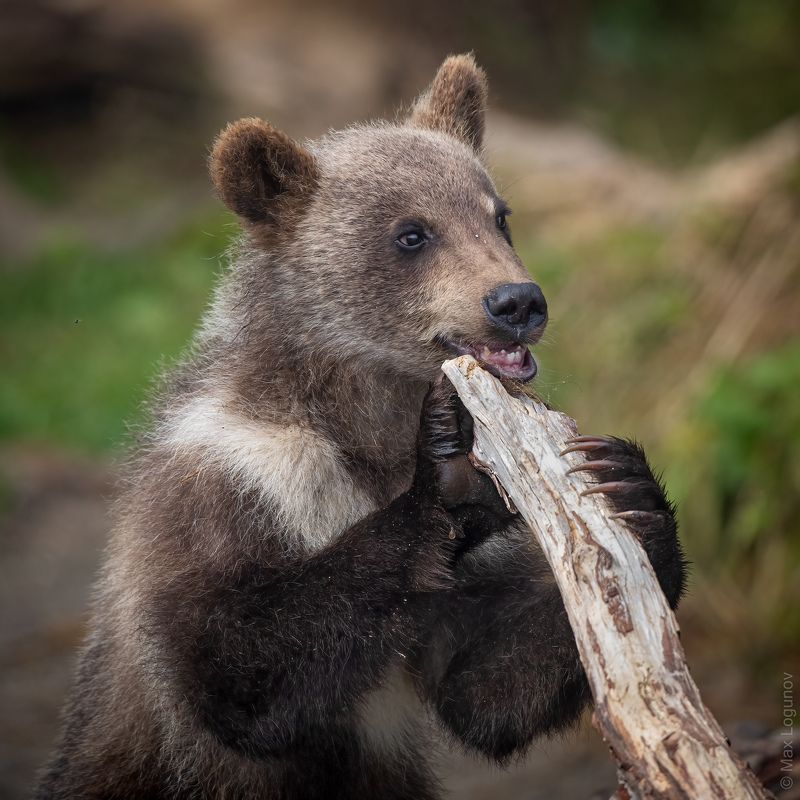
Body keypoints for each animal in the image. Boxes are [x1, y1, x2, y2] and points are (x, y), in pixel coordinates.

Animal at [36, 54, 685, 799]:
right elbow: (235, 667)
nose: (518, 302)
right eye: (412, 233)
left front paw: (629, 487)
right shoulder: (231, 490)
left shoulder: (448, 592)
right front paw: (446, 476)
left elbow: (486, 685)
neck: (361, 424)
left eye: (499, 216)